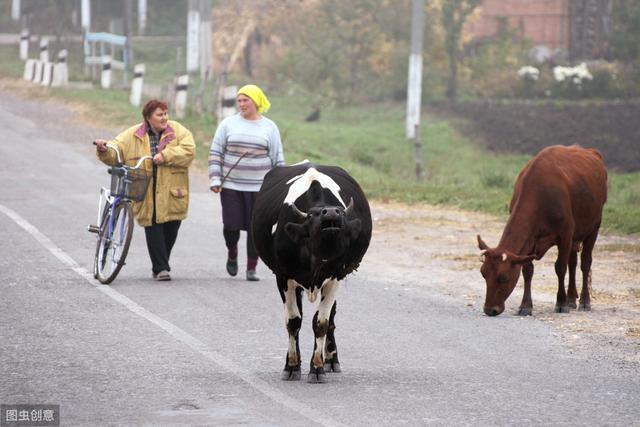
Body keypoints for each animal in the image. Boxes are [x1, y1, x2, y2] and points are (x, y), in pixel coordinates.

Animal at [252, 162, 372, 382]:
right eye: (310, 215)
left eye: (342, 213)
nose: (331, 211)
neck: (317, 257)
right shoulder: (284, 277)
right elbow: (293, 321)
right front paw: (292, 366)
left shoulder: (335, 277)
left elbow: (322, 322)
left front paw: (317, 367)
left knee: (331, 317)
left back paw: (331, 360)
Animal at [478, 145, 608, 316]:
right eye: (483, 274)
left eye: (503, 277)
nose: (490, 309)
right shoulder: (531, 239)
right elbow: (527, 269)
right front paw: (526, 305)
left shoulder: (565, 233)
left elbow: (560, 267)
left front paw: (561, 303)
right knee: (572, 262)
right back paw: (571, 298)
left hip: (593, 227)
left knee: (585, 263)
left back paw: (584, 301)